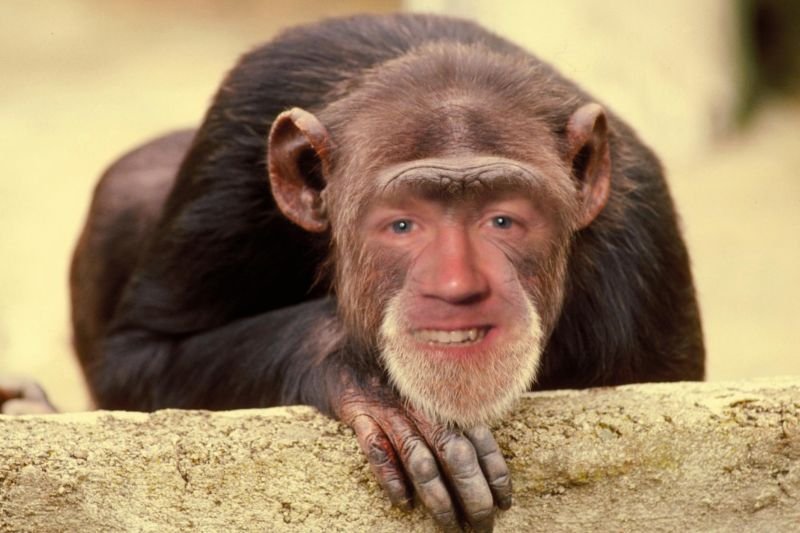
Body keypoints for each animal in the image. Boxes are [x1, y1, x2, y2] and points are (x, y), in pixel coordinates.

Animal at [3, 14, 704, 531]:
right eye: (403, 225)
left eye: (504, 220)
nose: (459, 288)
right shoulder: (235, 141)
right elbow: (140, 354)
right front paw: (371, 380)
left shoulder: (640, 251)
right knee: (131, 180)